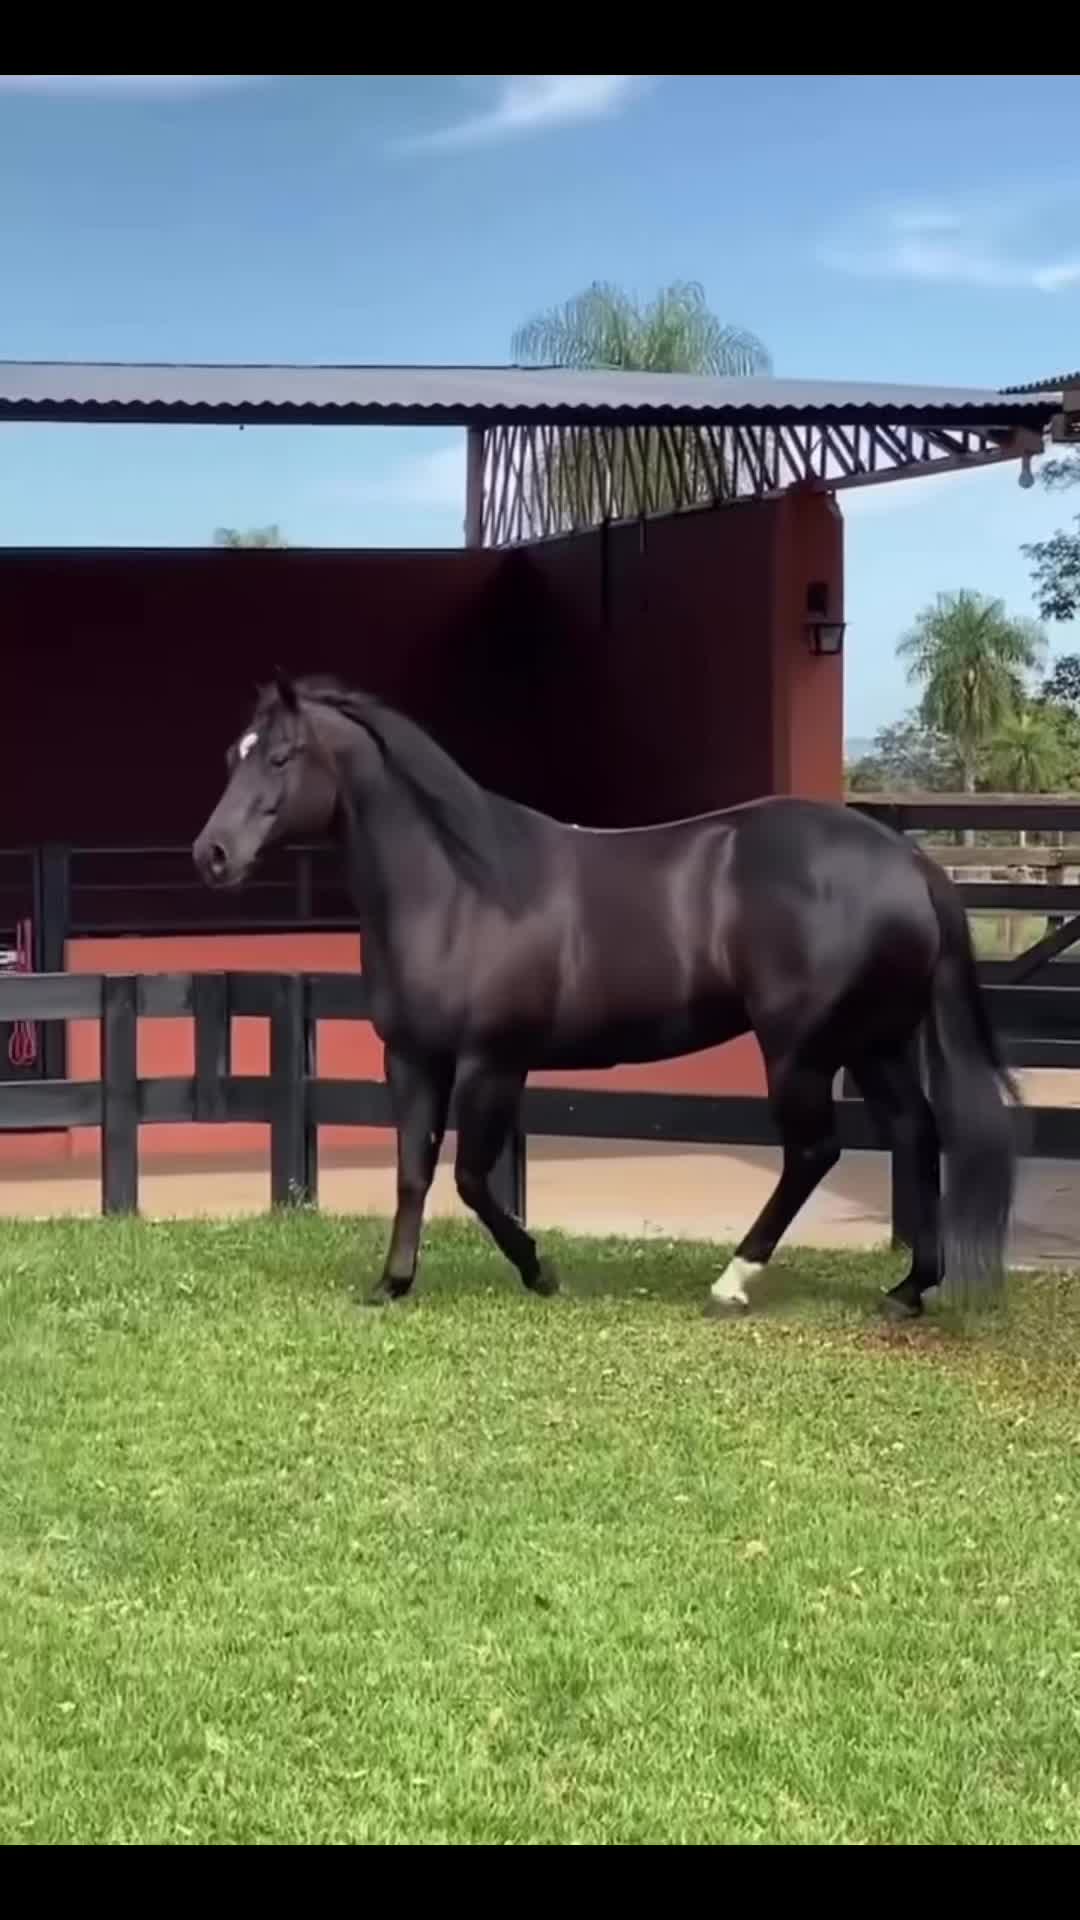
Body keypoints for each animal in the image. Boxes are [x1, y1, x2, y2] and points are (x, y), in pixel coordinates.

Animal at [192, 673, 1015, 1320]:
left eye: (281, 755)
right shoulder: (413, 1059)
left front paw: (541, 1271)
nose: (212, 855)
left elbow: (470, 1178)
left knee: (814, 1152)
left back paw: (732, 1283)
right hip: (871, 1044)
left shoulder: (493, 1061)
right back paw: (908, 1289)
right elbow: (413, 1171)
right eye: (232, 755)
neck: (458, 888)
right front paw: (392, 1284)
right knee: (915, 1131)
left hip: (802, 1051)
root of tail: (908, 862)